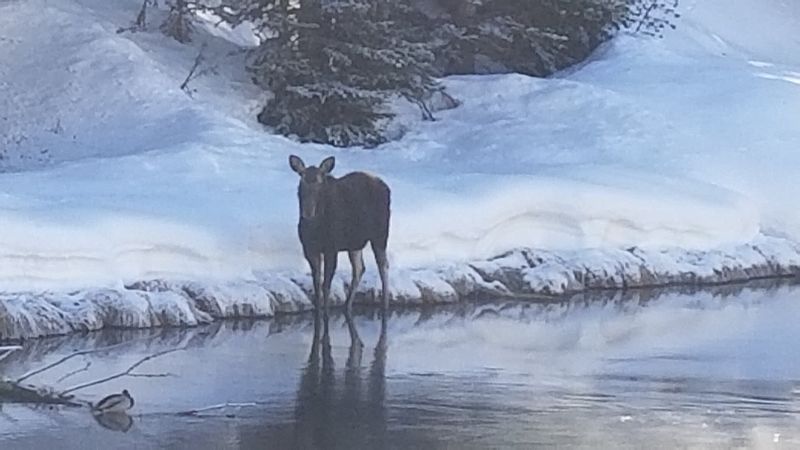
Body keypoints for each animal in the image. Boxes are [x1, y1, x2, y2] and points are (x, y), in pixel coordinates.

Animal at [289, 155, 391, 311]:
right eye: (302, 179)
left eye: (319, 182)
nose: (308, 212)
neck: (314, 228)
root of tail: (386, 187)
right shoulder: (309, 249)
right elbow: (317, 286)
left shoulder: (331, 248)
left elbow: (326, 285)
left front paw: (326, 311)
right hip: (355, 242)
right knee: (359, 268)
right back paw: (347, 305)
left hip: (380, 234)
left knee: (383, 265)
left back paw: (385, 304)